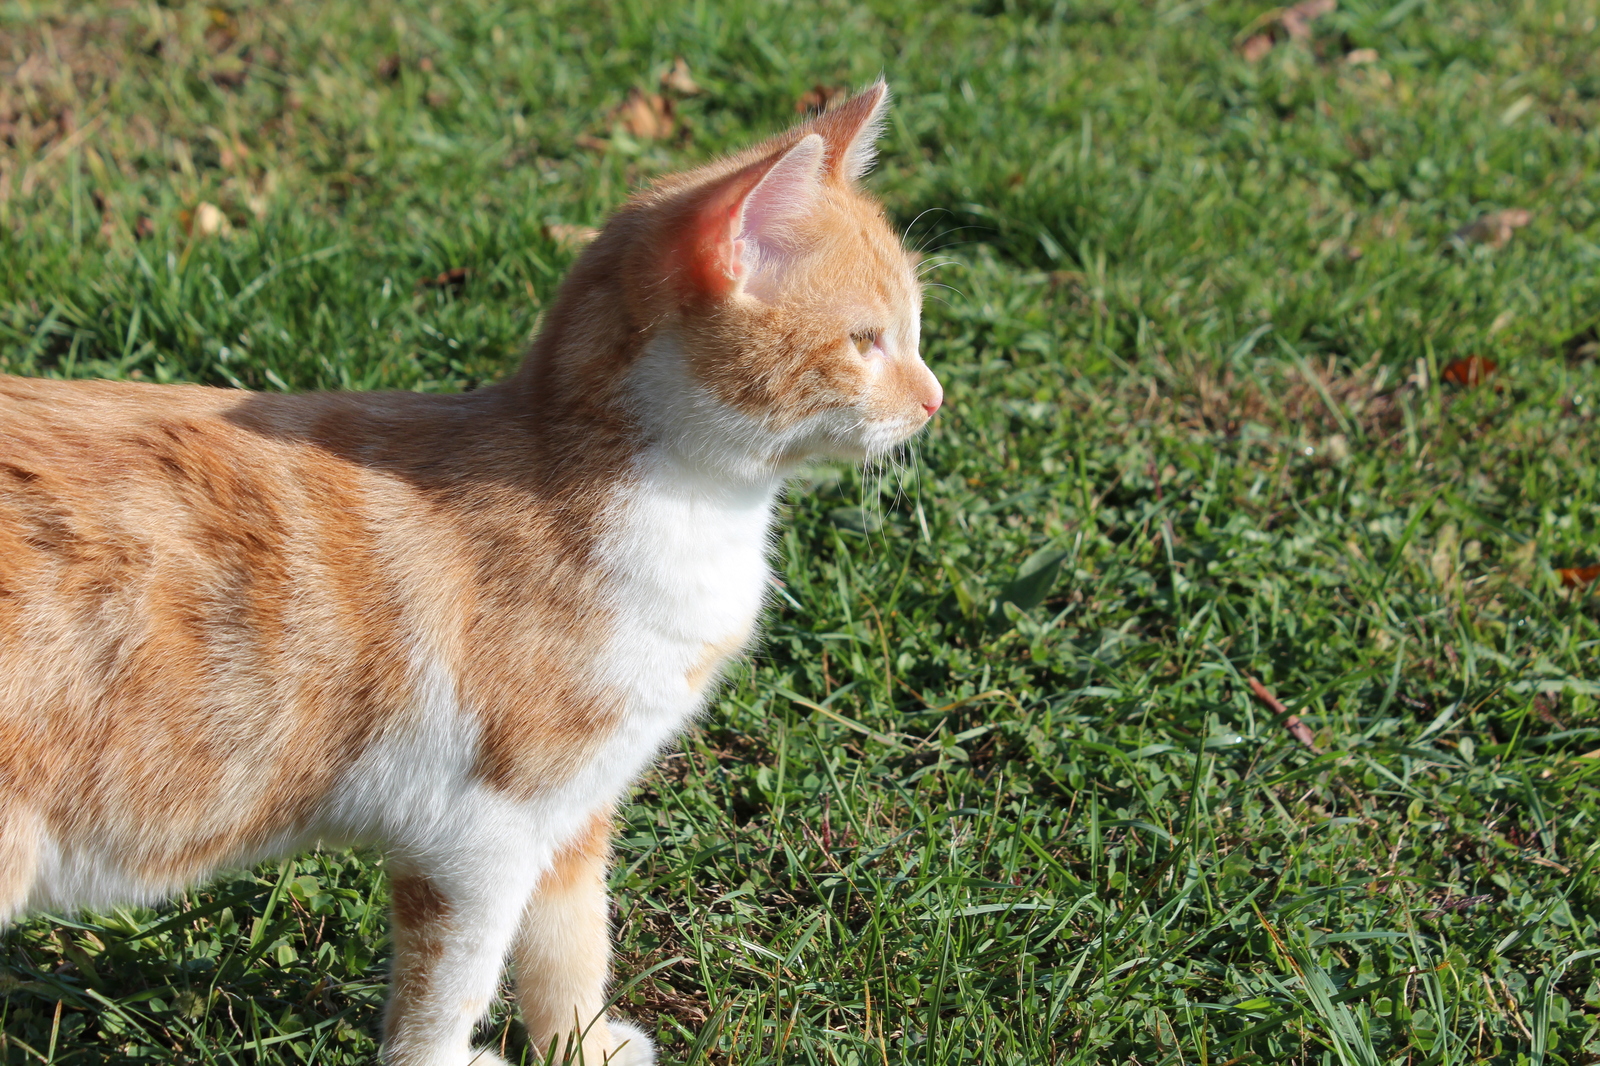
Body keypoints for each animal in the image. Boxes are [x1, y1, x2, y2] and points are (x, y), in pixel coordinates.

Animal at [0, 80, 934, 1062]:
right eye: (867, 341)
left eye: (913, 333)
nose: (934, 399)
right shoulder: (478, 835)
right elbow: (453, 985)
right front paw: (443, 1055)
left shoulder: (573, 812)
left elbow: (571, 942)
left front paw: (580, 1045)